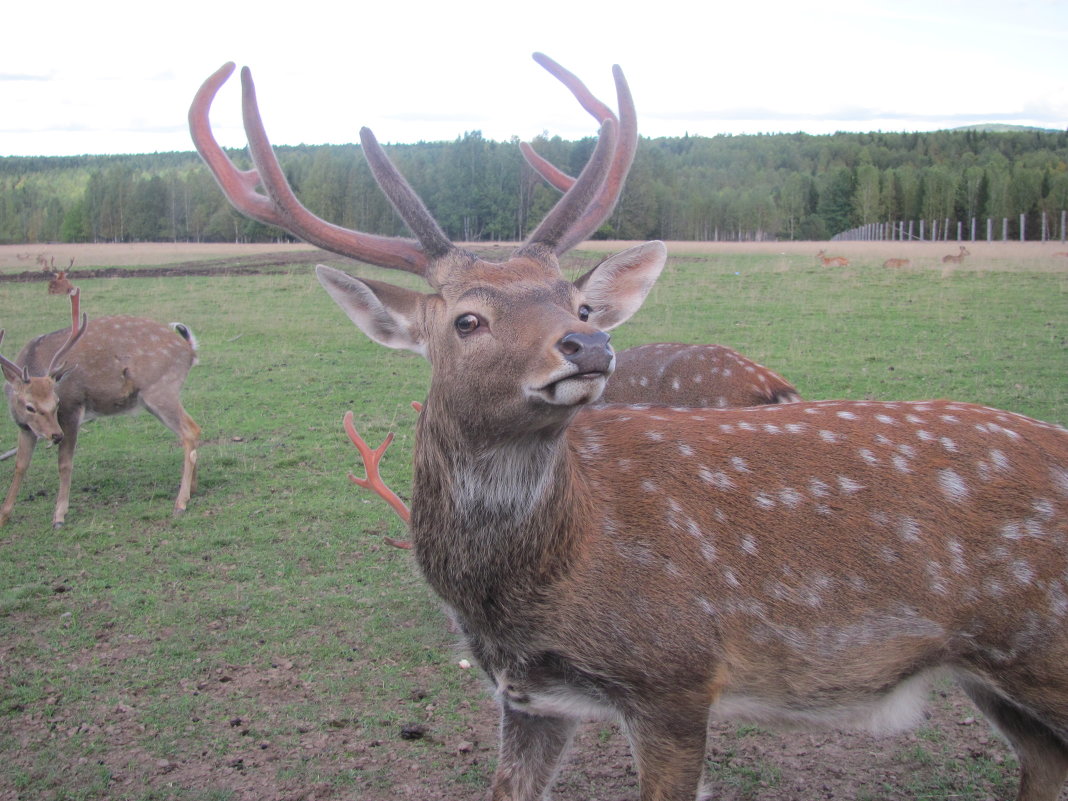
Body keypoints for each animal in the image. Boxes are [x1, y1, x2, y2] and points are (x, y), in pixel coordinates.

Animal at [1, 288, 200, 527]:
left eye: (57, 402)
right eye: (29, 406)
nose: (55, 435)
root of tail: (190, 349)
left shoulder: (72, 408)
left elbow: (64, 462)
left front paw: (59, 515)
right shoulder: (25, 427)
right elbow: (20, 465)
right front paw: (4, 515)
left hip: (161, 390)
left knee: (190, 431)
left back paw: (181, 502)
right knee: (193, 429)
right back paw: (192, 490)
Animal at [190, 53, 1068, 798]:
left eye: (575, 304)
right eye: (467, 319)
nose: (589, 345)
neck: (533, 588)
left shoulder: (675, 674)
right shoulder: (529, 693)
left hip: (1043, 648)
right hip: (1001, 677)